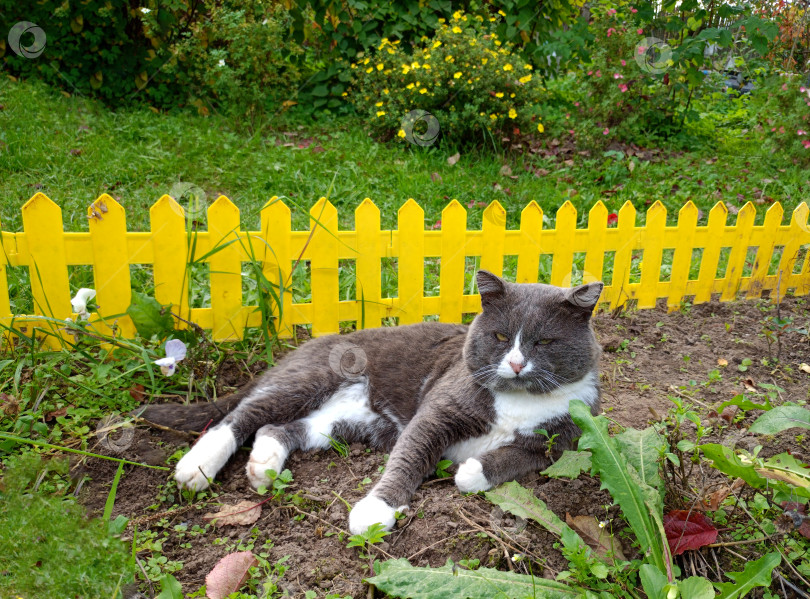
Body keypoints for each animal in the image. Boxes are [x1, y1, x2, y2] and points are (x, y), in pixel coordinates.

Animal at [140, 272, 600, 536]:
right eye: (501, 337)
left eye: (545, 341)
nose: (517, 363)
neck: (519, 400)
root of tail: (306, 344)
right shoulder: (437, 411)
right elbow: (410, 456)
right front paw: (375, 509)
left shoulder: (563, 442)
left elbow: (519, 457)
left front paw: (472, 472)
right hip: (309, 380)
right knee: (243, 416)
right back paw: (198, 467)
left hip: (357, 422)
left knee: (282, 428)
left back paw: (264, 464)